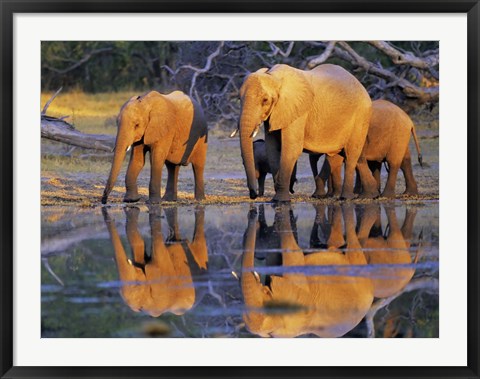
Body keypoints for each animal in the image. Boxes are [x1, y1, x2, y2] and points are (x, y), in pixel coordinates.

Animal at [238, 65, 376, 202]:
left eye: (265, 100)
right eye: (239, 99)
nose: (254, 195)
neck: (274, 76)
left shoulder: (298, 111)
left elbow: (291, 149)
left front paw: (280, 200)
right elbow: (272, 148)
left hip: (361, 116)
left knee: (351, 154)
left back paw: (345, 198)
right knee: (341, 156)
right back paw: (370, 195)